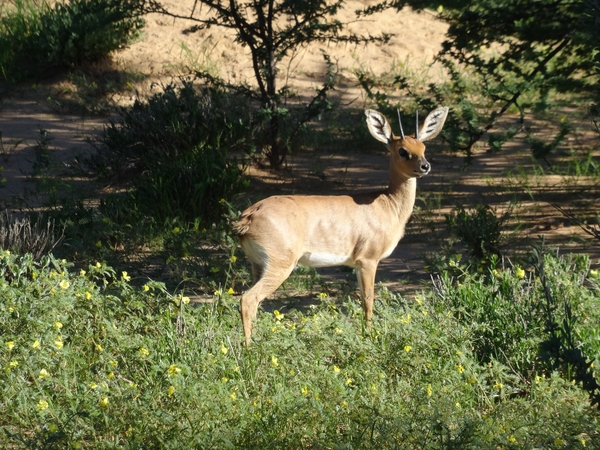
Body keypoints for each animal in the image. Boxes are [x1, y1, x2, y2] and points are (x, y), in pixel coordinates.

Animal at [232, 106, 448, 344]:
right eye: (402, 150)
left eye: (423, 147)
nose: (425, 166)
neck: (387, 204)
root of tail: (248, 217)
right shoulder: (368, 261)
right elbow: (368, 300)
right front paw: (369, 336)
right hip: (280, 266)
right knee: (248, 300)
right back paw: (250, 349)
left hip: (258, 266)